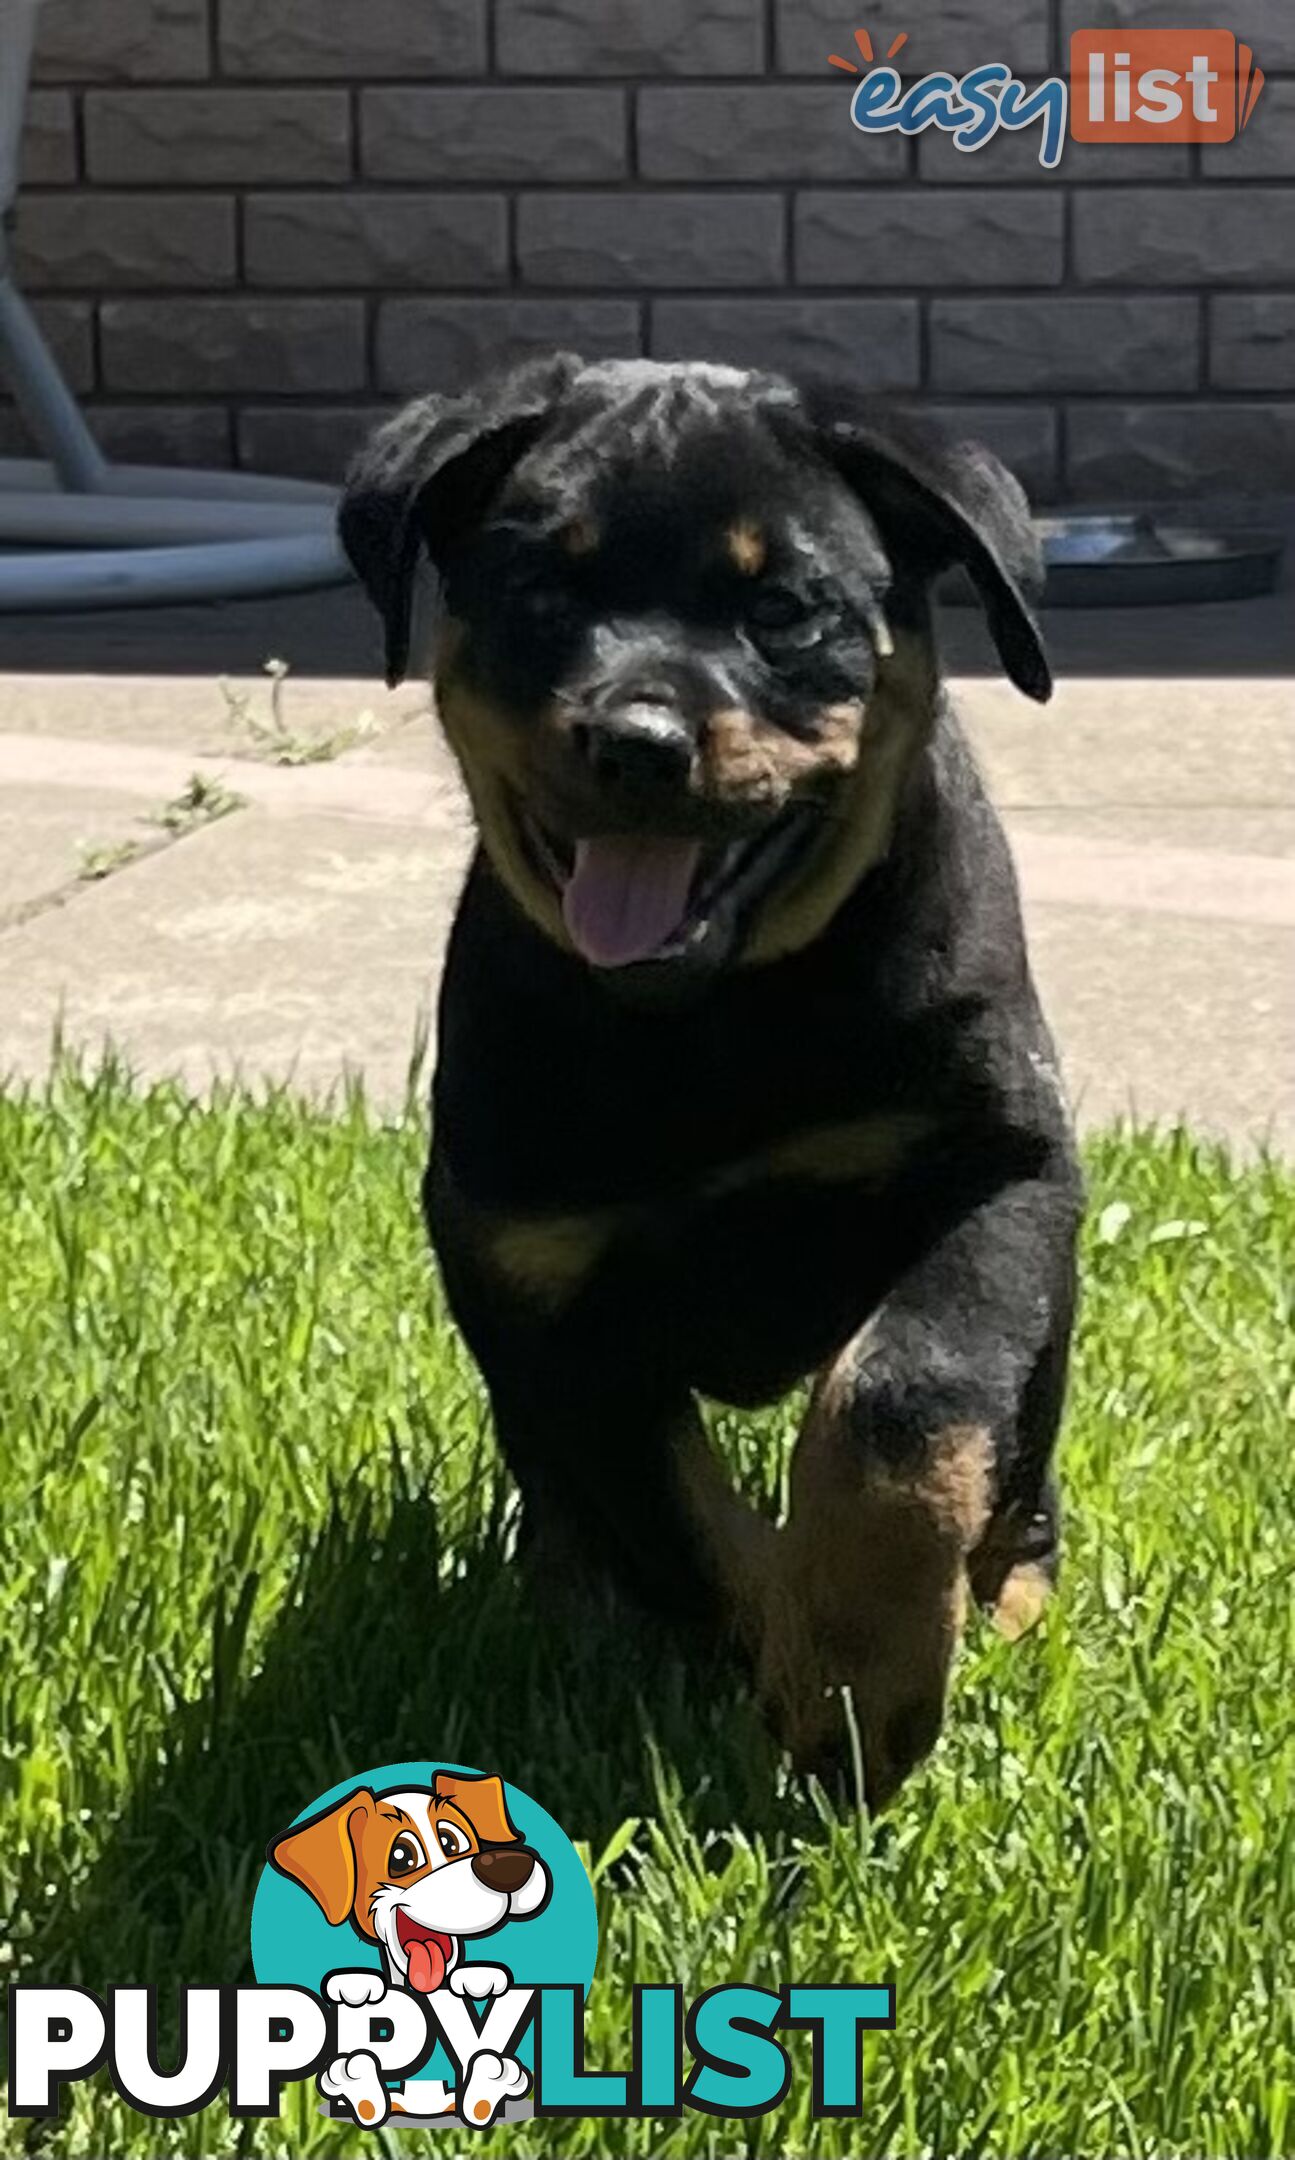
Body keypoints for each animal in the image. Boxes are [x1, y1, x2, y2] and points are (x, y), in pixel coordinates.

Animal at [336, 354, 1083, 1805]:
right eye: (540, 592)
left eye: (782, 608)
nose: (636, 738)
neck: (712, 1021)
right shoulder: (535, 1278)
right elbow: (668, 1507)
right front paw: (791, 1664)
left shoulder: (995, 1169)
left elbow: (904, 1395)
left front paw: (859, 1667)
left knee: (1014, 1469)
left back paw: (1007, 1601)